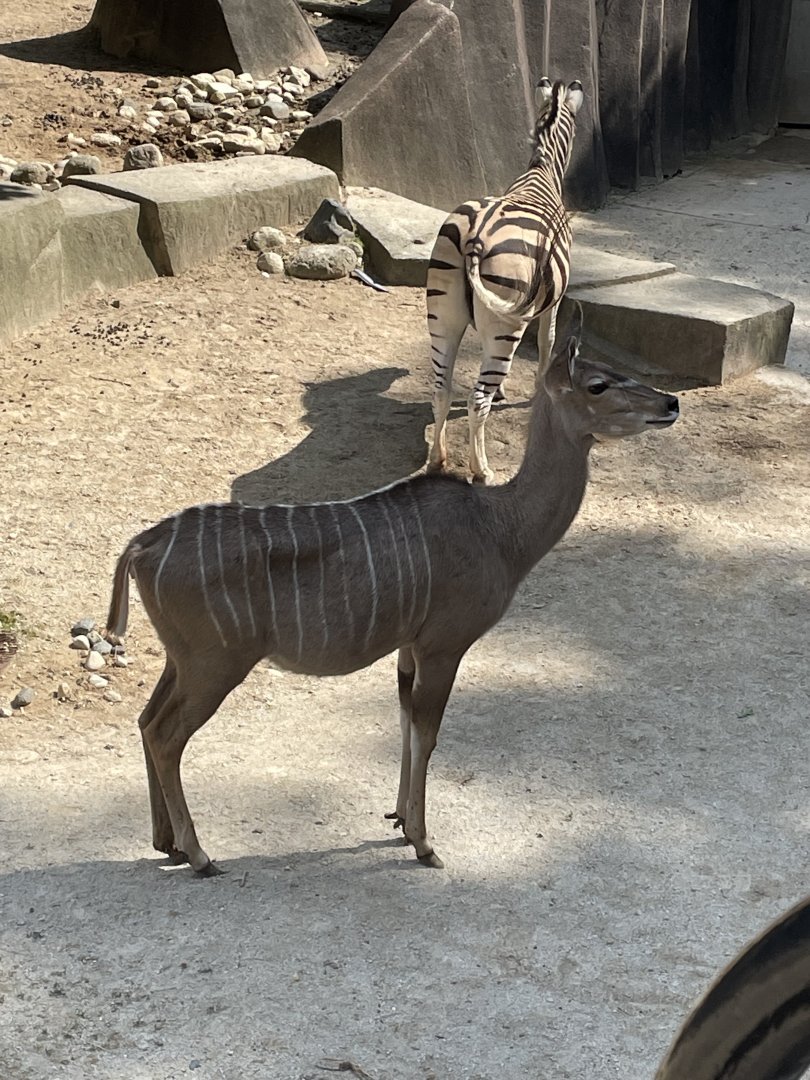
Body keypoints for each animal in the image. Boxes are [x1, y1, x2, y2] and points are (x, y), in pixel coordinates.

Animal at [426, 76, 583, 484]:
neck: (540, 173)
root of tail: (475, 236)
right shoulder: (554, 300)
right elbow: (547, 342)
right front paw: (541, 387)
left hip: (443, 317)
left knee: (442, 390)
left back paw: (437, 460)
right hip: (506, 325)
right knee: (475, 399)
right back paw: (481, 470)